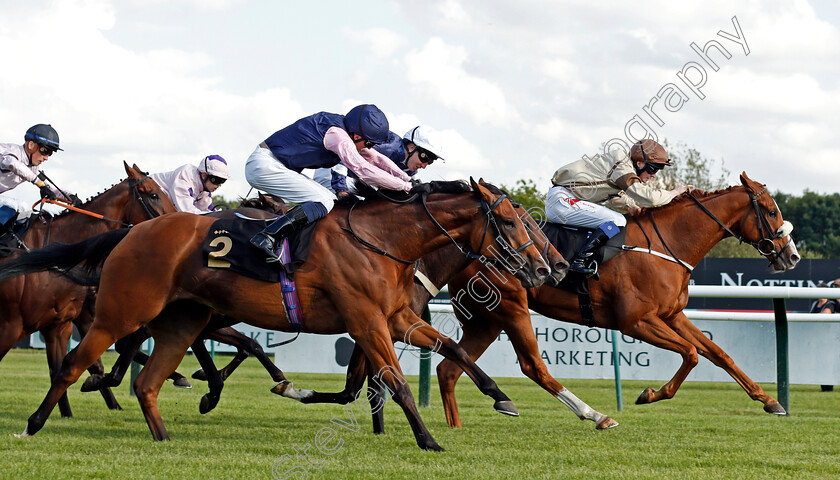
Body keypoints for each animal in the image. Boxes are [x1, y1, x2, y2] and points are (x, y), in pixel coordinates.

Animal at [436, 172, 796, 428]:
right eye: (771, 211)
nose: (791, 256)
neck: (666, 245)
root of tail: (465, 250)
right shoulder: (635, 321)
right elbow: (691, 354)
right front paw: (650, 394)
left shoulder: (673, 315)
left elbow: (719, 354)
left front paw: (770, 401)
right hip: (511, 309)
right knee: (532, 366)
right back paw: (596, 416)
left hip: (487, 320)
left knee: (448, 369)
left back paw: (456, 426)